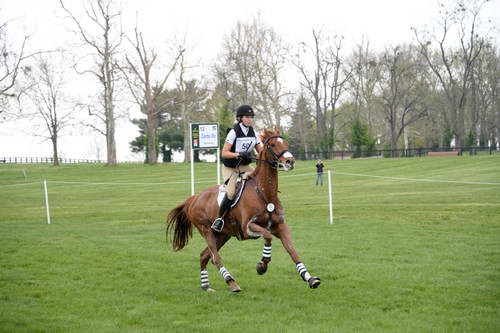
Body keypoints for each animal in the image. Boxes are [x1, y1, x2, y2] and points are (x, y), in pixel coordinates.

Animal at [164, 128, 320, 292]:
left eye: (285, 143)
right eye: (272, 145)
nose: (290, 161)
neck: (264, 193)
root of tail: (194, 198)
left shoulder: (280, 226)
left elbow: (292, 251)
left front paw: (310, 279)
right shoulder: (248, 227)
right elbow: (267, 236)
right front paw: (262, 265)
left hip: (223, 235)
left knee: (204, 256)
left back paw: (206, 286)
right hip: (206, 230)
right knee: (215, 258)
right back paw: (232, 283)